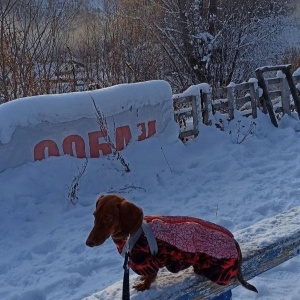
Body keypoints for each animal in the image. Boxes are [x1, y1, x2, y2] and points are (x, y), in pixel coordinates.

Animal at [85, 195, 256, 292]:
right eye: (94, 215)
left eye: (107, 218)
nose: (88, 243)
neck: (132, 234)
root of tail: (234, 241)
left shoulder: (147, 262)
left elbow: (150, 276)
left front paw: (144, 285)